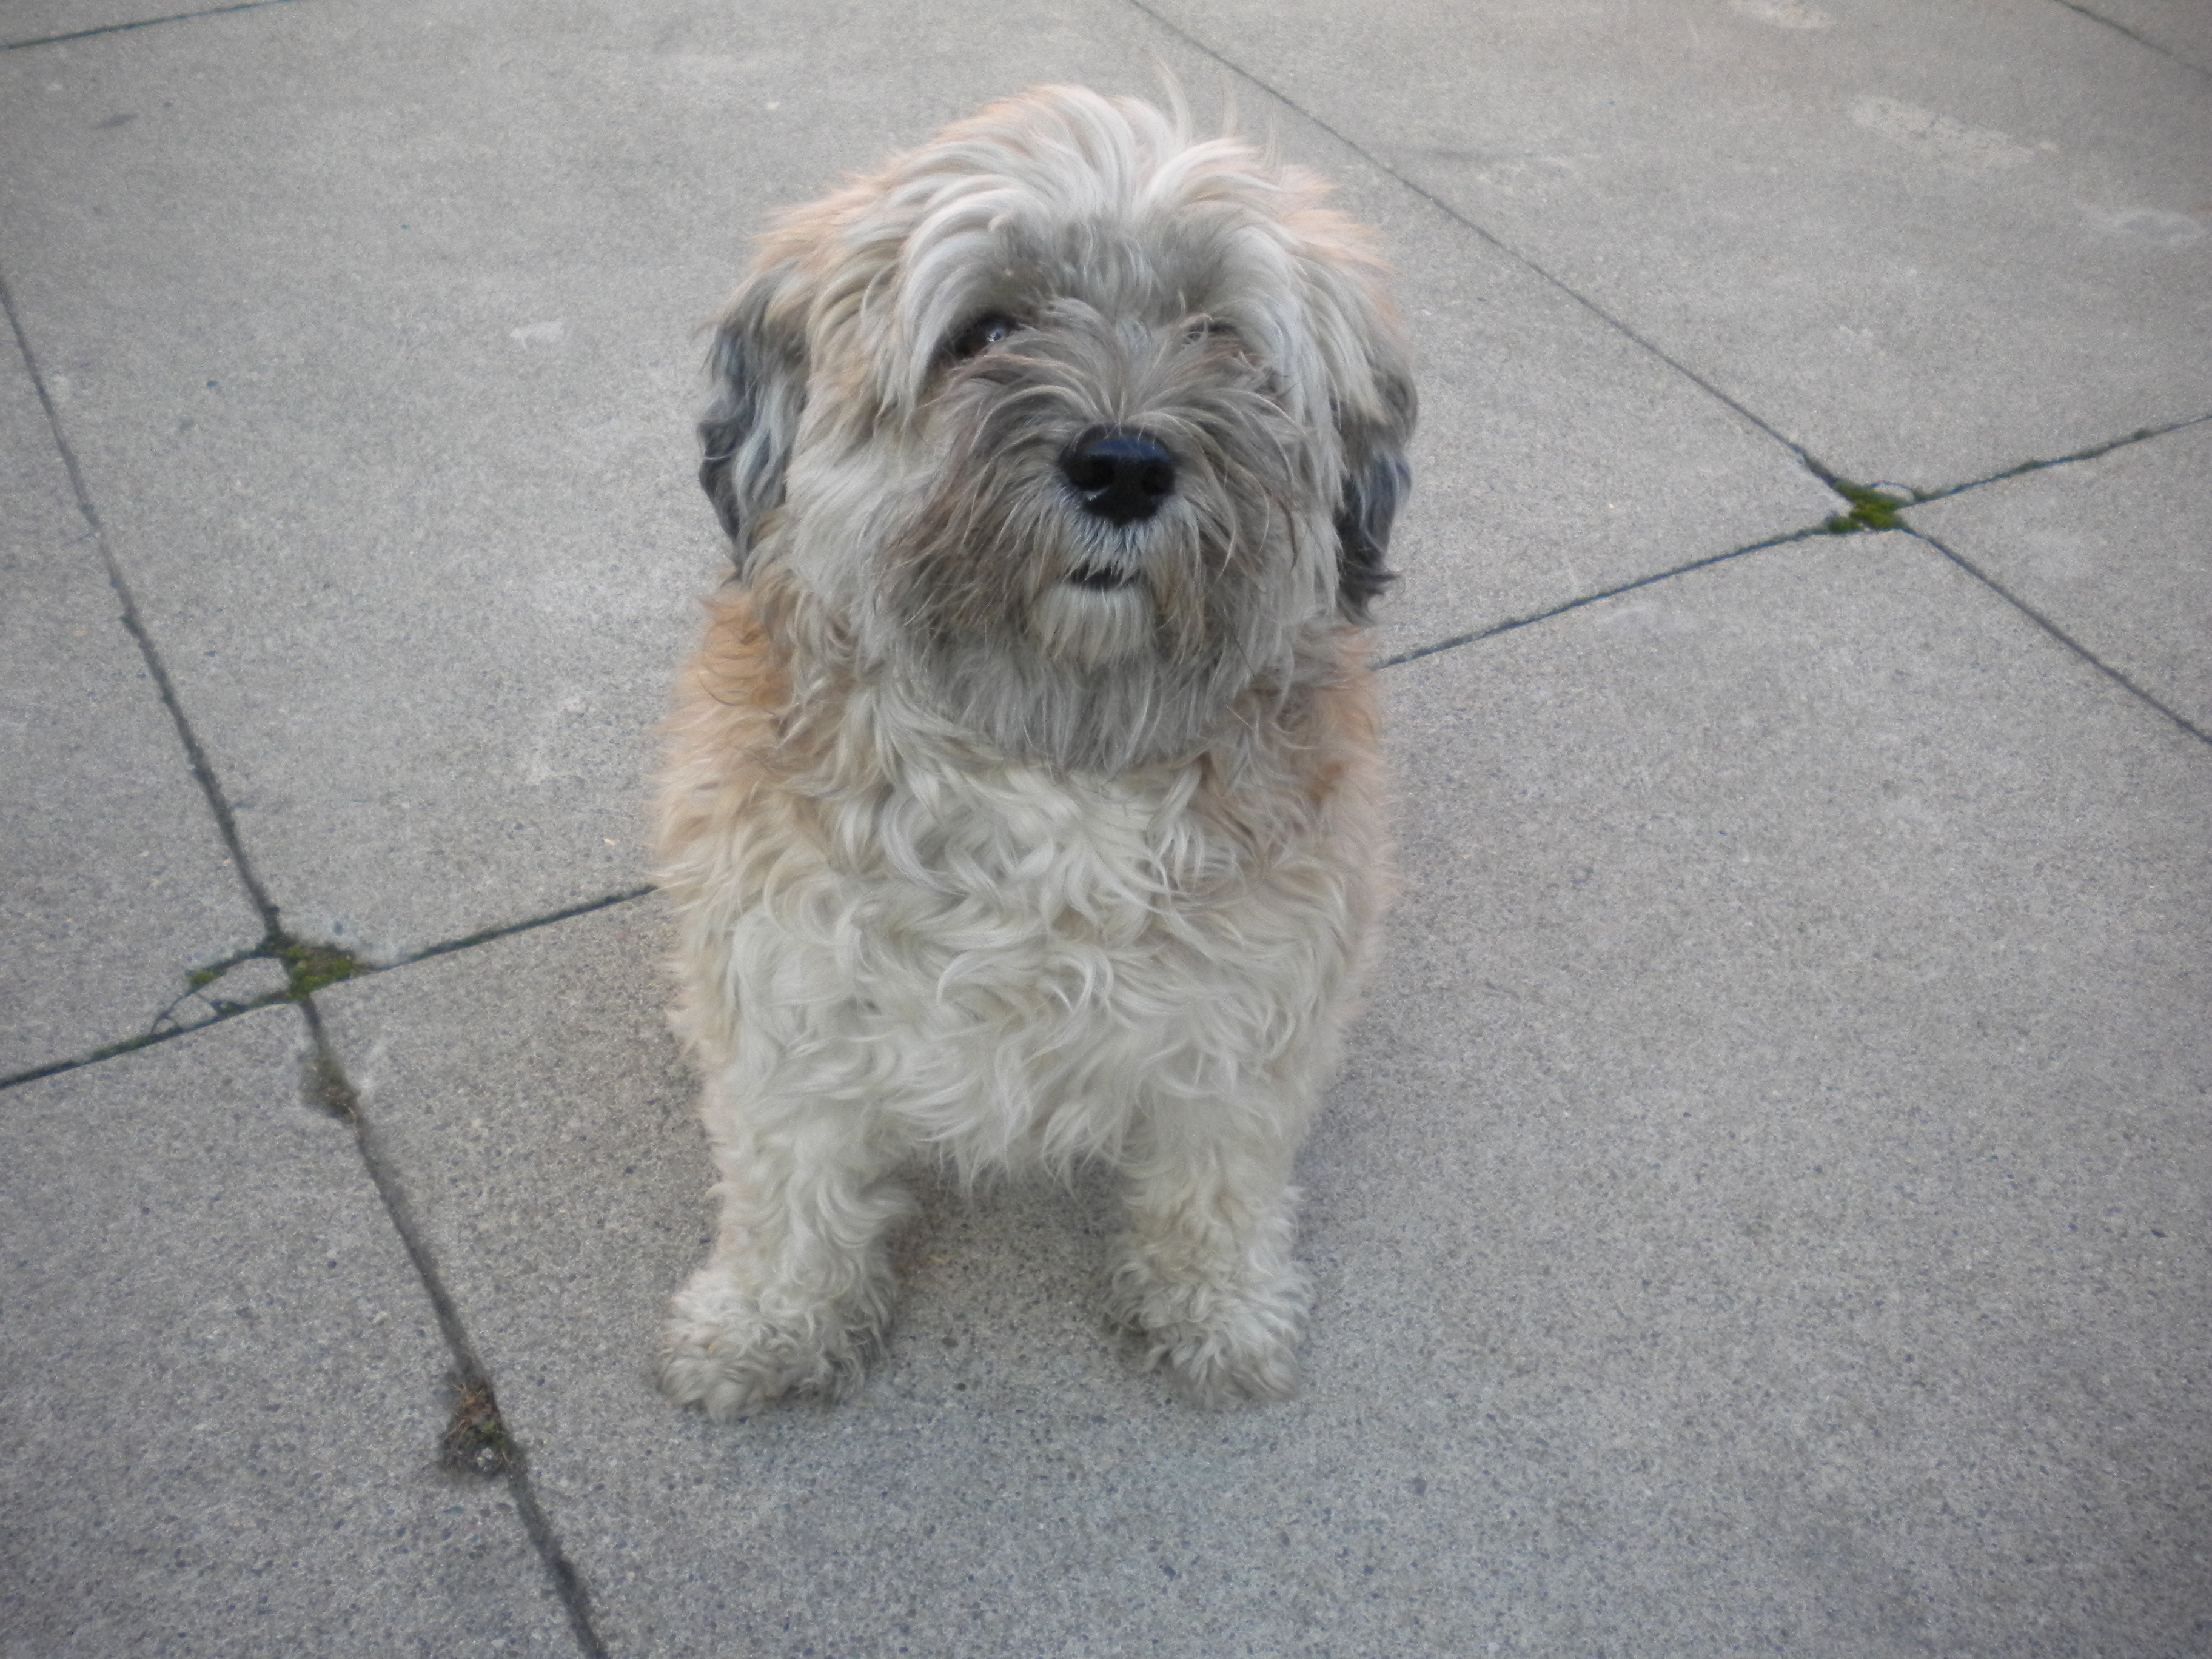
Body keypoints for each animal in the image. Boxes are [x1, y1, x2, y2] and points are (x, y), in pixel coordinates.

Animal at [652, 85, 1413, 1417]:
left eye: (1220, 336)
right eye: (986, 330)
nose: (1124, 465)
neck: (1050, 761)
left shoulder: (1253, 1018)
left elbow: (1218, 1177)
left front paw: (1217, 1307)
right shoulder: (783, 996)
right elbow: (789, 1179)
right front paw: (767, 1320)